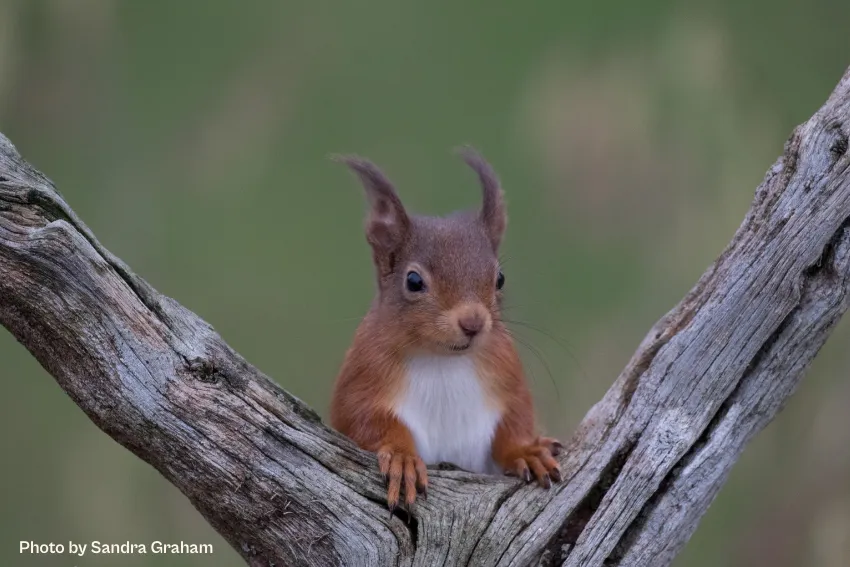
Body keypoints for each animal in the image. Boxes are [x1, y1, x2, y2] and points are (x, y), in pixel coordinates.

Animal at [330, 147, 563, 511]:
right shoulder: (361, 378)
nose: (473, 323)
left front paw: (526, 451)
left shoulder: (506, 375)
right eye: (413, 281)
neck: (442, 361)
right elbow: (364, 421)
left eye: (500, 278)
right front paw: (402, 458)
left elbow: (514, 420)